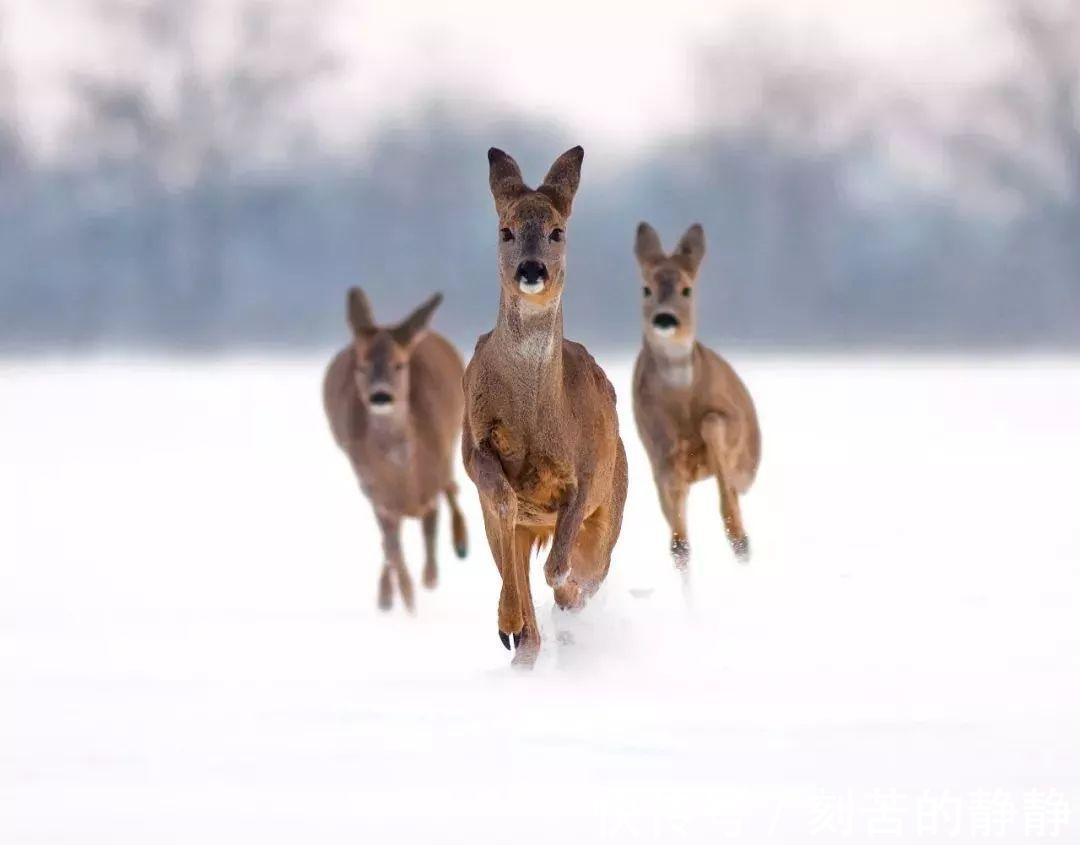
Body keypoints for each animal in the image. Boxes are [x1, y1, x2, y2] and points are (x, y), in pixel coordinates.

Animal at [321, 287, 470, 613]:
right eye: (362, 366)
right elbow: (392, 547)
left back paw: (461, 544)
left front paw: (429, 578)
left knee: (452, 488)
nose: (380, 396)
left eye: (399, 365)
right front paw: (406, 598)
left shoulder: (433, 474)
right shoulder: (376, 494)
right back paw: (388, 595)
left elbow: (431, 525)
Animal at [462, 146, 630, 669]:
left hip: (613, 504)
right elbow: (502, 499)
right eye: (506, 230)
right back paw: (519, 637)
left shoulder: (589, 471)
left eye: (558, 231)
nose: (532, 269)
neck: (537, 418)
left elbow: (560, 567)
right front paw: (511, 624)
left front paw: (564, 600)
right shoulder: (473, 446)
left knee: (586, 570)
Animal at [630, 221, 764, 570]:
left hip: (749, 464)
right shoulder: (659, 457)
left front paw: (738, 535)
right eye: (646, 289)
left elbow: (712, 423)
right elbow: (679, 543)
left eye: (687, 289)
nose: (665, 318)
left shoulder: (730, 422)